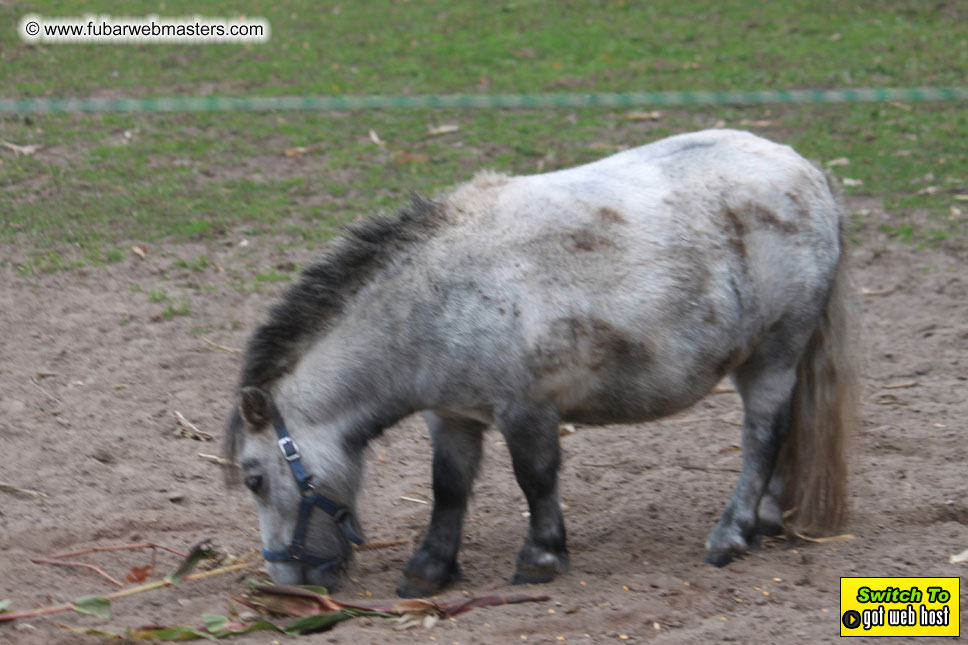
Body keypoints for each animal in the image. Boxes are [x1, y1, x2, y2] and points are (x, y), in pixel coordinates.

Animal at [223, 130, 860, 600]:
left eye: (254, 478)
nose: (285, 584)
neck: (439, 300)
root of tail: (808, 172)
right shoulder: (451, 416)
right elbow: (448, 487)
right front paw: (430, 569)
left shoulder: (526, 409)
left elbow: (535, 478)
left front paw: (541, 556)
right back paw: (766, 518)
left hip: (773, 356)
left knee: (763, 435)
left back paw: (732, 533)